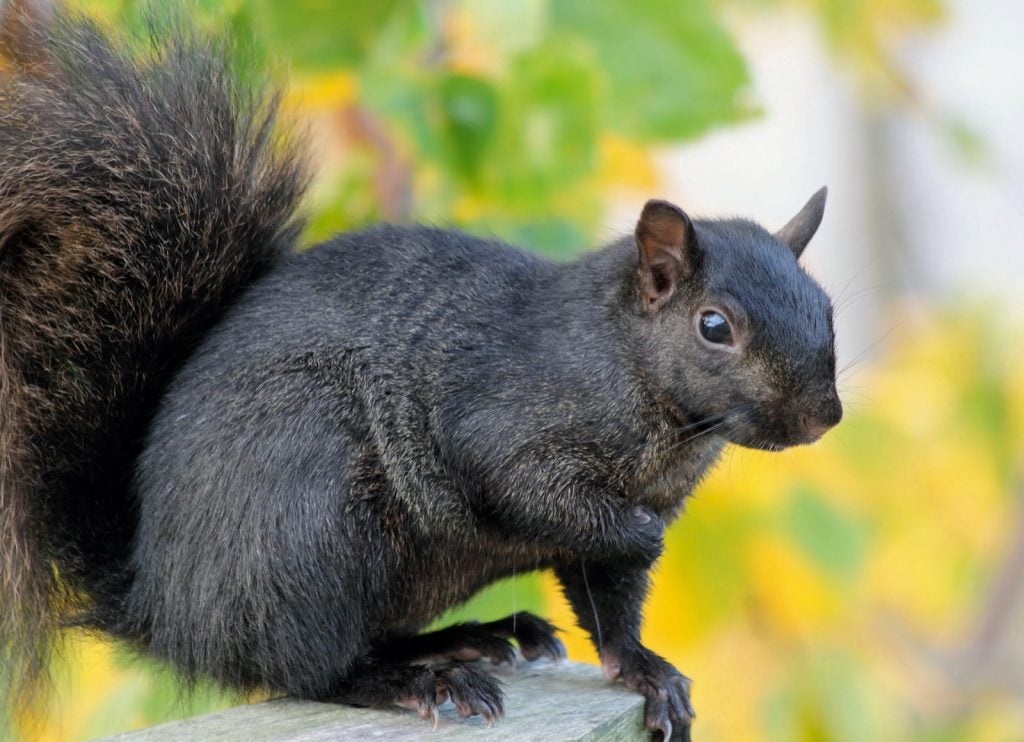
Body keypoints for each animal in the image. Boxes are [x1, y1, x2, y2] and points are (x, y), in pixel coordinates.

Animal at [0, 13, 843, 740]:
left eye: (828, 308)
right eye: (714, 326)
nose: (822, 417)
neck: (642, 392)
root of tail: (162, 605)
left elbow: (611, 606)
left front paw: (647, 672)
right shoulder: (504, 422)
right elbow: (540, 497)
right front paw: (643, 539)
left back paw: (468, 638)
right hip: (312, 519)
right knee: (312, 666)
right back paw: (419, 678)